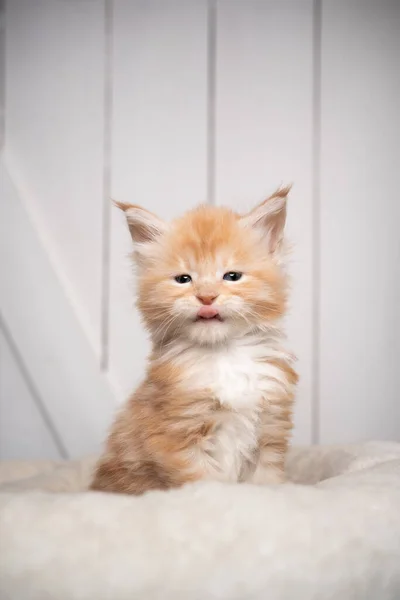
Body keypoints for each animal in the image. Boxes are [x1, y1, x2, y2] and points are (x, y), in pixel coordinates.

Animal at [90, 189, 296, 496]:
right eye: (183, 279)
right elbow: (203, 485)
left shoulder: (270, 431)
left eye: (232, 276)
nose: (207, 297)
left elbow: (266, 483)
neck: (224, 355)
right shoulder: (176, 437)